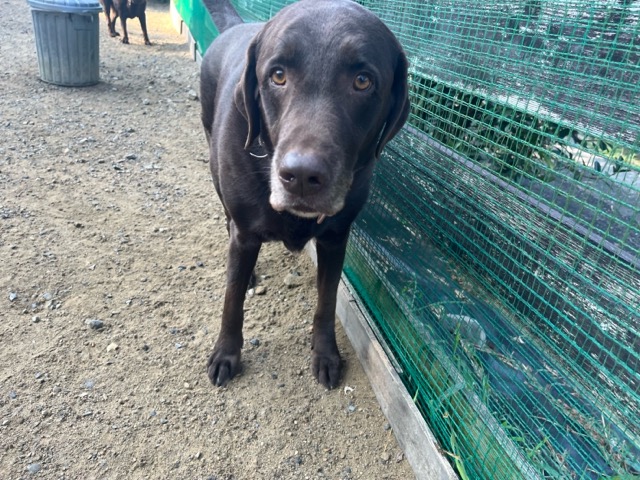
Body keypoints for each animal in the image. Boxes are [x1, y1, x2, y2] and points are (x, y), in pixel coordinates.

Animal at [200, 0, 409, 389]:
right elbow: (232, 300)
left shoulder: (335, 237)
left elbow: (327, 300)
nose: (299, 176)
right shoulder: (246, 234)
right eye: (278, 76)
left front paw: (325, 353)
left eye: (363, 81)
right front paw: (226, 353)